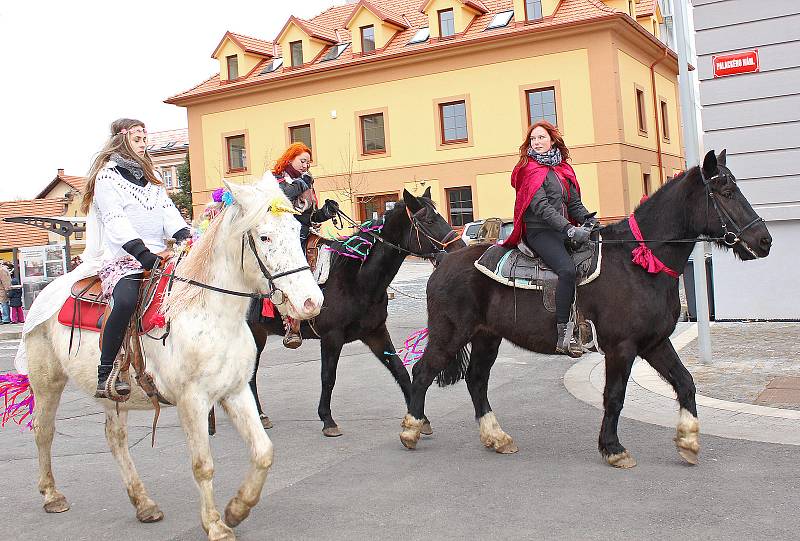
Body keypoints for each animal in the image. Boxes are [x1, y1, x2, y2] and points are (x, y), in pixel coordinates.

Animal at [248, 188, 462, 436]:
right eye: (428, 221)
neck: (356, 278)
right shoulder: (332, 337)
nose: (459, 248)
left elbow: (399, 370)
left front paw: (419, 419)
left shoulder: (375, 333)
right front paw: (327, 419)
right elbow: (328, 377)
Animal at [400, 150, 776, 466]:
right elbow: (614, 396)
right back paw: (411, 429)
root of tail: (444, 261)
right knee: (422, 372)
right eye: (726, 191)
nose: (764, 240)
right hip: (450, 335)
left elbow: (685, 382)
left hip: (486, 337)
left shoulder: (655, 343)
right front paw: (613, 448)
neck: (639, 262)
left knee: (476, 380)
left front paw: (688, 440)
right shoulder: (621, 348)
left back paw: (496, 437)